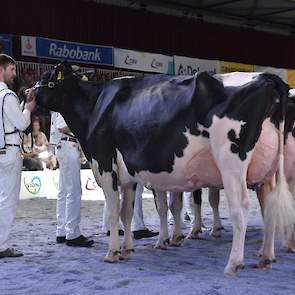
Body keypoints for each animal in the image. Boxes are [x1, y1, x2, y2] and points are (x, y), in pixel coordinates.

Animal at [33, 62, 294, 278]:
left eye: (46, 79)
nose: (29, 93)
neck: (95, 105)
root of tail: (268, 77)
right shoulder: (128, 177)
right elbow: (127, 212)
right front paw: (127, 249)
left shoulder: (104, 164)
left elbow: (114, 212)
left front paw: (112, 253)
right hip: (268, 170)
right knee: (270, 206)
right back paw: (266, 256)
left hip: (231, 163)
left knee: (241, 208)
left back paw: (234, 263)